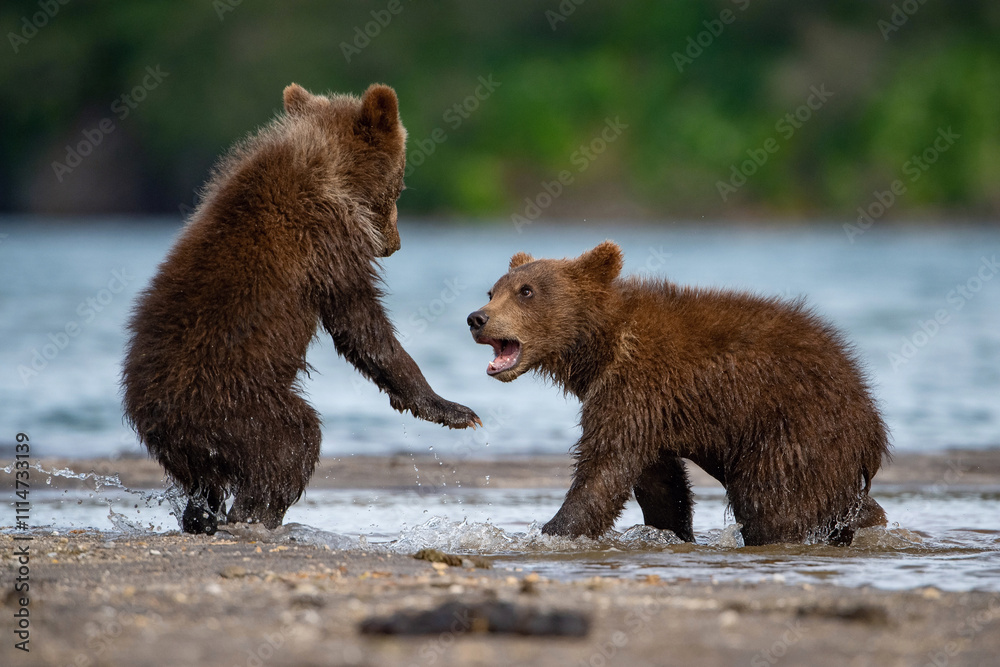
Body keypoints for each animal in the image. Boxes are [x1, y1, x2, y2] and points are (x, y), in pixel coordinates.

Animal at [122, 83, 480, 535]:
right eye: (400, 184)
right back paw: (254, 514)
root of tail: (147, 414)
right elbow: (362, 325)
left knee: (208, 486)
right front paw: (452, 408)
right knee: (293, 442)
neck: (331, 174)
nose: (395, 244)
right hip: (234, 403)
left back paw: (205, 518)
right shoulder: (327, 242)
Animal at [467, 241, 889, 546]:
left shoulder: (634, 386)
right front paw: (670, 531)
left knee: (772, 502)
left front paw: (549, 532)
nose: (477, 318)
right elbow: (658, 480)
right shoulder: (646, 407)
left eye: (526, 291)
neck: (601, 344)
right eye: (492, 290)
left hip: (795, 428)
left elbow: (603, 470)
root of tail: (872, 426)